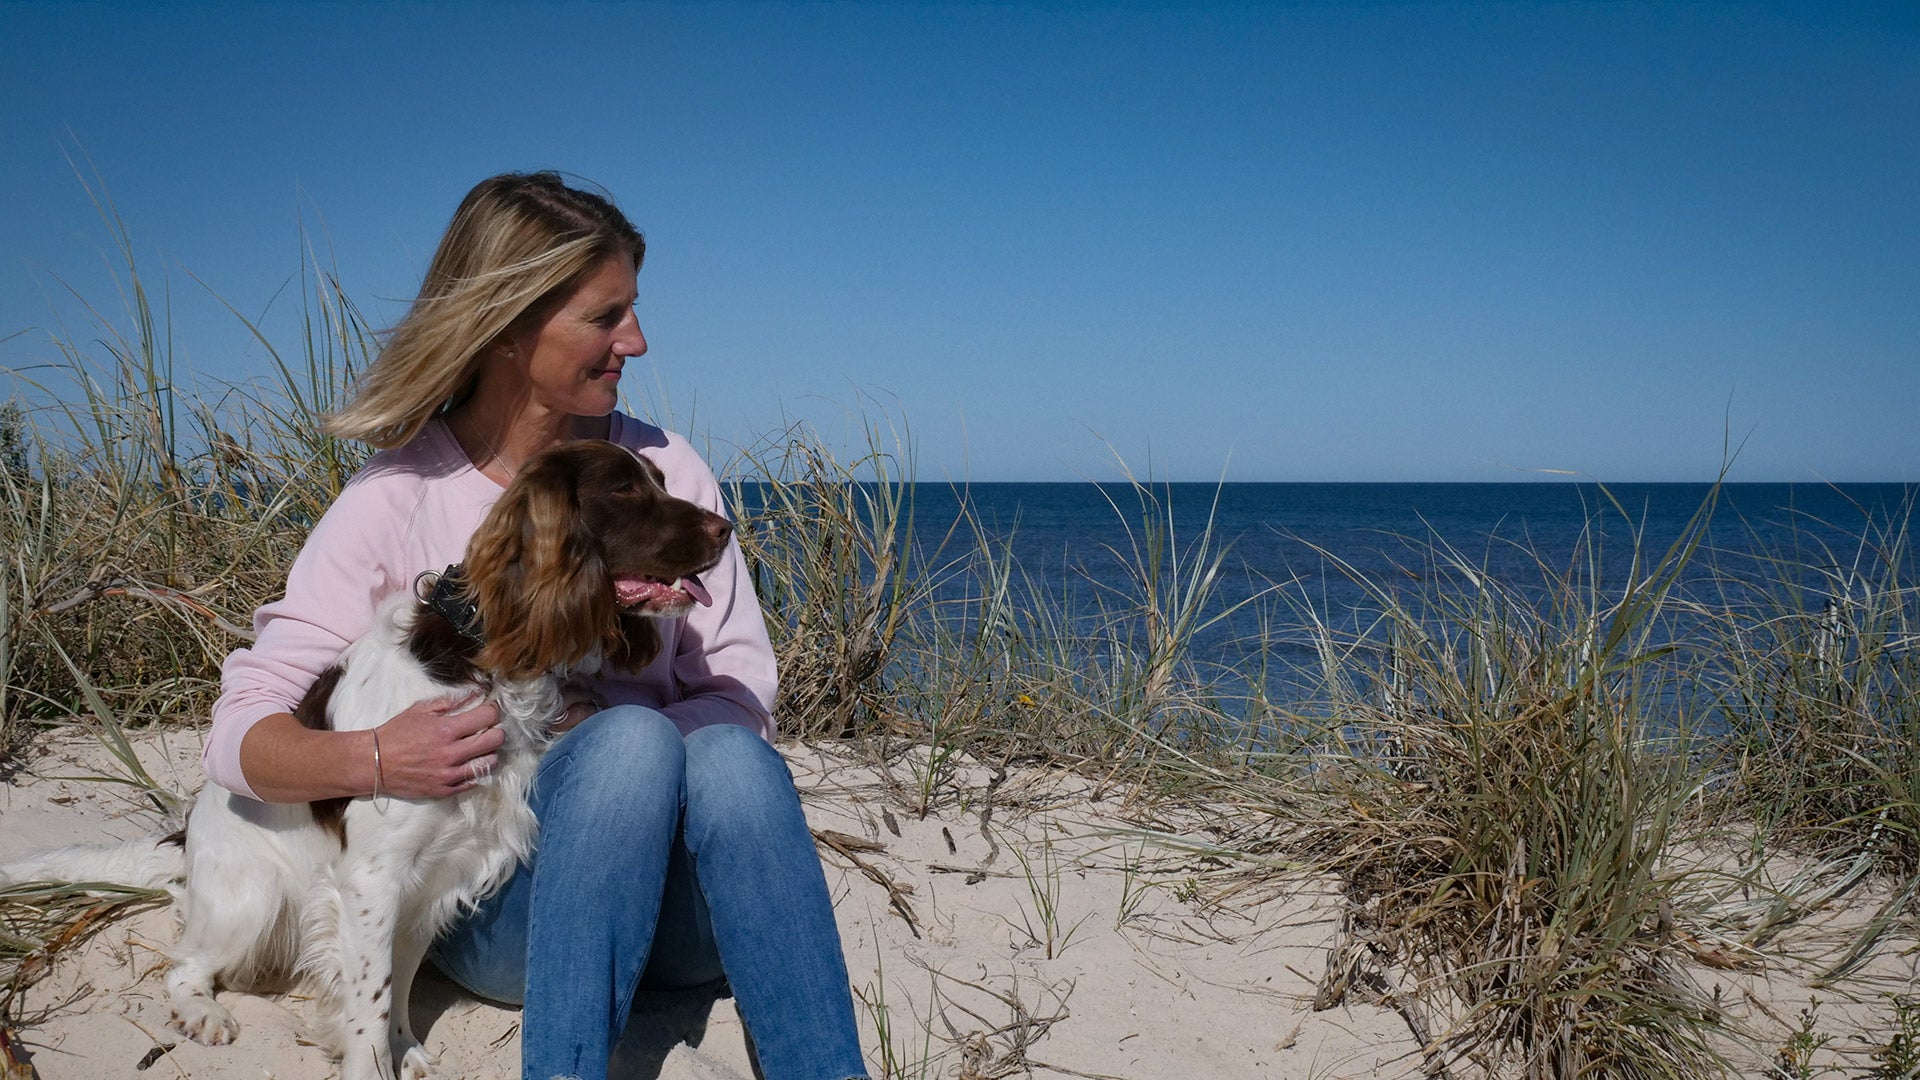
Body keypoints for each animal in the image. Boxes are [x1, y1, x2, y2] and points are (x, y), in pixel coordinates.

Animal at [0, 440, 733, 1076]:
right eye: (624, 488)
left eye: (660, 480)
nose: (726, 527)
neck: (485, 657)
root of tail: (184, 832)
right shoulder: (372, 879)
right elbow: (368, 1001)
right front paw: (370, 1064)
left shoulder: (433, 878)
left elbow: (396, 986)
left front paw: (404, 1049)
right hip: (252, 897)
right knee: (185, 965)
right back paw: (202, 1013)